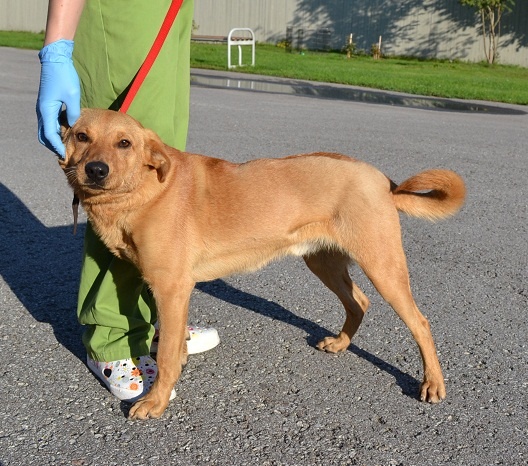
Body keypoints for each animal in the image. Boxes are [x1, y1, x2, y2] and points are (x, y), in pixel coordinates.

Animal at [60, 108, 466, 420]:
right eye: (81, 136)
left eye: (124, 143)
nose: (95, 170)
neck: (146, 190)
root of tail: (384, 182)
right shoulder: (175, 290)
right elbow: (175, 347)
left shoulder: (171, 287)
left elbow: (168, 357)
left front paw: (156, 400)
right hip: (324, 263)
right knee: (359, 302)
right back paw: (340, 343)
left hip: (382, 267)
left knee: (420, 323)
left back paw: (432, 382)